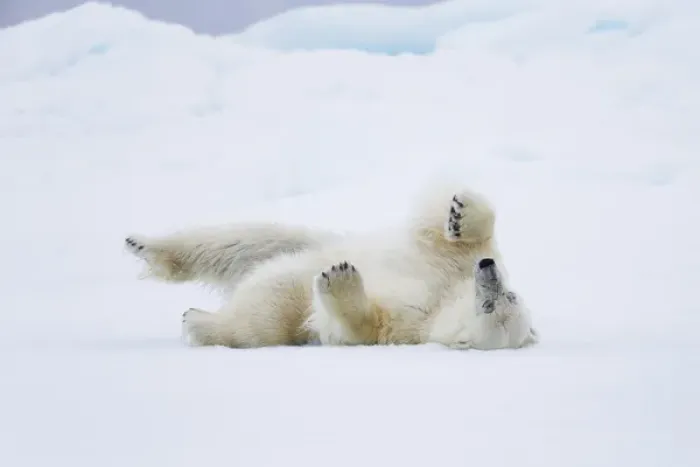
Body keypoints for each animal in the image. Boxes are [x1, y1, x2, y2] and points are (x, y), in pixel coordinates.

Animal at [124, 181, 538, 350]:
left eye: (494, 304)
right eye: (510, 295)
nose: (487, 271)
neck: (442, 302)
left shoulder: (407, 324)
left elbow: (358, 325)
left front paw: (339, 278)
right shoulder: (448, 266)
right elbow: (448, 238)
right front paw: (461, 212)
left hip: (281, 303)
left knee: (262, 317)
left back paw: (199, 320)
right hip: (303, 240)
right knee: (242, 241)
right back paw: (144, 245)